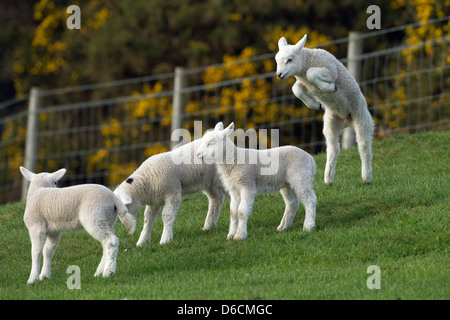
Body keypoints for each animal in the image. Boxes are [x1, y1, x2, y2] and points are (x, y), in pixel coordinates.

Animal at [274, 34, 376, 185]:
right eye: (276, 60)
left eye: (290, 59)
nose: (279, 75)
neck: (305, 65)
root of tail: (346, 120)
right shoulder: (306, 85)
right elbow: (296, 89)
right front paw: (314, 105)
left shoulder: (330, 70)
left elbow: (311, 74)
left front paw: (330, 88)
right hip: (330, 123)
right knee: (333, 149)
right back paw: (328, 178)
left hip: (362, 118)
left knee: (364, 146)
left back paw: (366, 176)